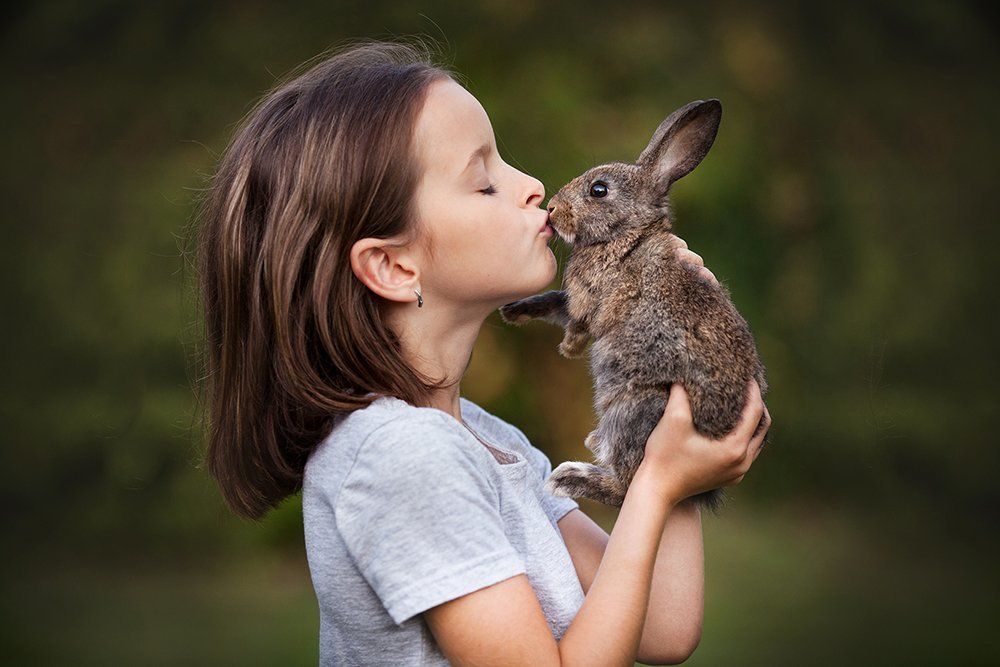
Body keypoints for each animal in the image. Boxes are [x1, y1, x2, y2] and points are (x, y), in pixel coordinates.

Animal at [499, 99, 768, 512]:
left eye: (599, 190)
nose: (553, 209)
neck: (626, 236)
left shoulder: (591, 301)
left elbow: (577, 322)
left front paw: (568, 349)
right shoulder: (573, 300)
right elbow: (551, 302)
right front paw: (513, 311)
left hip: (632, 410)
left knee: (624, 487)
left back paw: (569, 478)